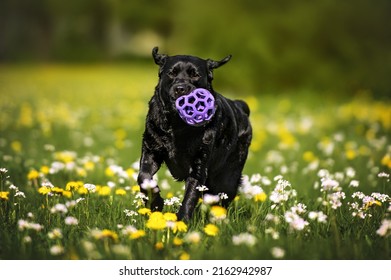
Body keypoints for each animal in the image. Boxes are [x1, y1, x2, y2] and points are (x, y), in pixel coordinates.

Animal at [139, 47, 253, 220]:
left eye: (195, 75)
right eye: (172, 73)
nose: (180, 88)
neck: (177, 125)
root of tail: (240, 106)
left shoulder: (199, 163)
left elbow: (191, 195)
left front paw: (182, 220)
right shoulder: (151, 149)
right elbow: (144, 177)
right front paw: (155, 202)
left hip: (227, 177)